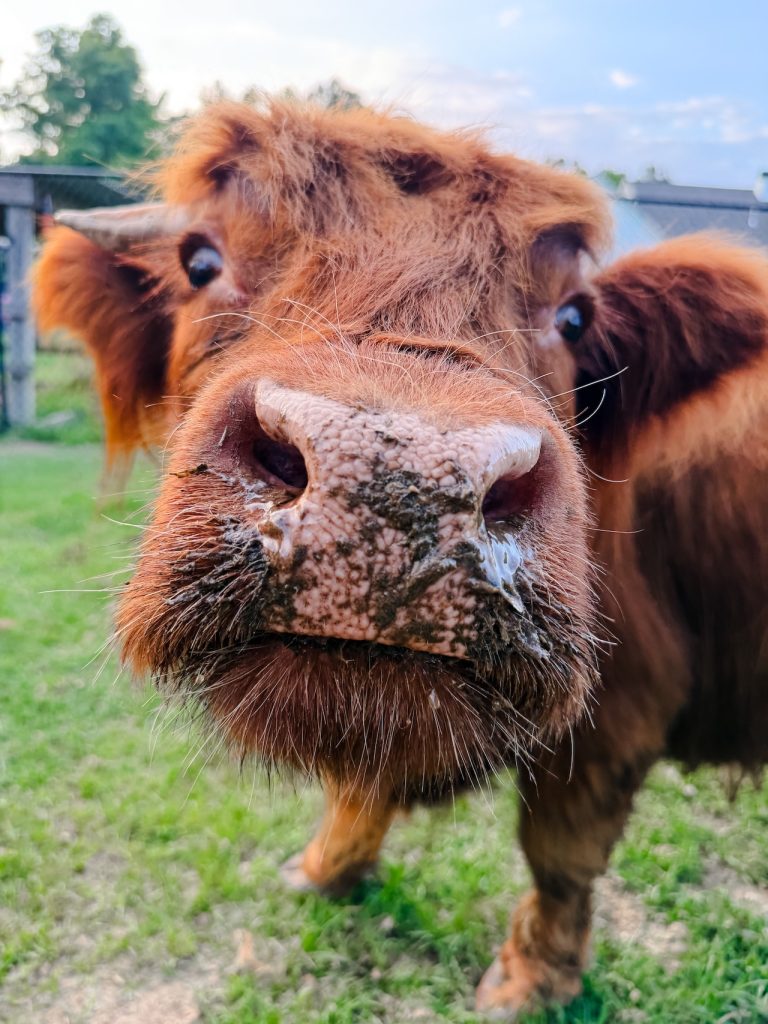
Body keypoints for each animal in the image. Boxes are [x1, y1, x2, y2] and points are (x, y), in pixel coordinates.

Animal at [32, 100, 768, 1018]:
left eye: (574, 318)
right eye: (200, 259)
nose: (396, 483)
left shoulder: (623, 707)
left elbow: (561, 856)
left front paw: (529, 981)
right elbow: (364, 776)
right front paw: (325, 869)